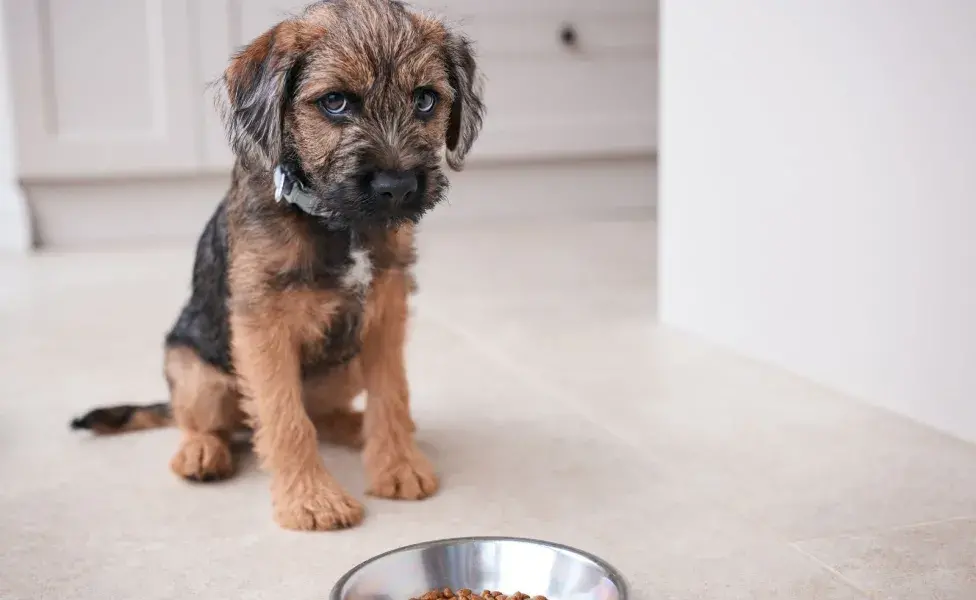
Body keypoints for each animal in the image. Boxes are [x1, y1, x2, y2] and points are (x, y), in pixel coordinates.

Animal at [69, 0, 484, 536]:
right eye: (335, 102)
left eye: (426, 100)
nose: (397, 186)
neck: (336, 223)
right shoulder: (263, 326)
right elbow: (286, 418)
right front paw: (311, 499)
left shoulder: (386, 311)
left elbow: (392, 393)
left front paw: (398, 465)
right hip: (194, 370)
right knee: (204, 421)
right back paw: (200, 451)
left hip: (346, 366)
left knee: (324, 413)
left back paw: (360, 427)